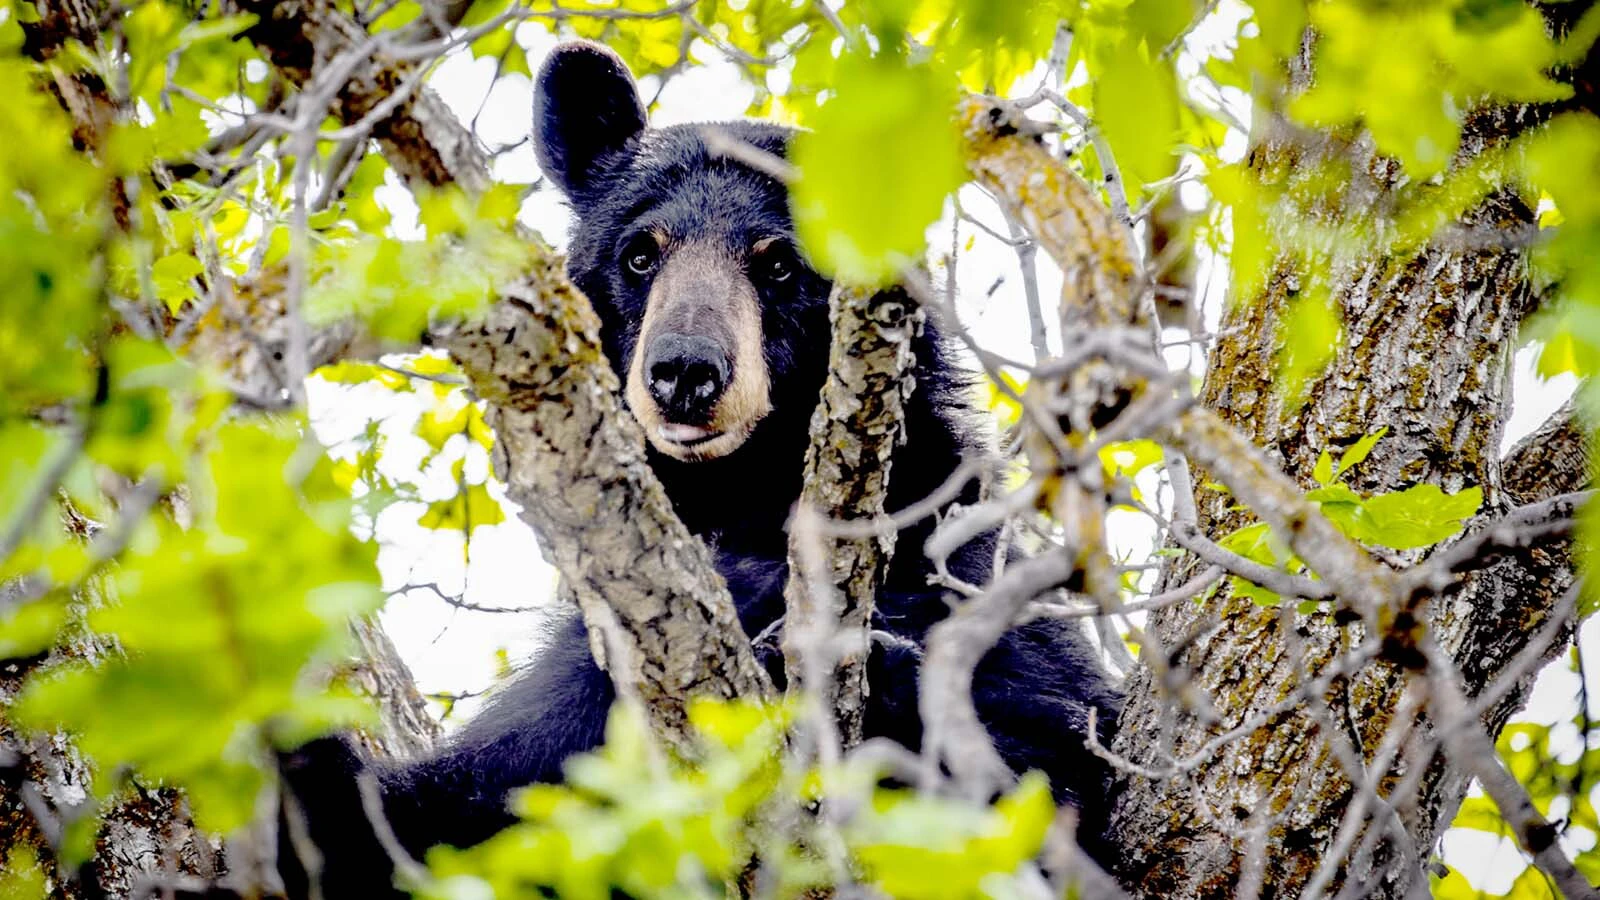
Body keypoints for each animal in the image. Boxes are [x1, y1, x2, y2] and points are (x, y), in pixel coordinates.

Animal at [277, 41, 1123, 899]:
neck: (743, 492)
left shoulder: (961, 558)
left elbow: (1061, 745)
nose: (684, 371)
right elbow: (464, 802)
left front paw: (874, 671)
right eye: (639, 254)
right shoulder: (589, 680)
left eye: (780, 264)